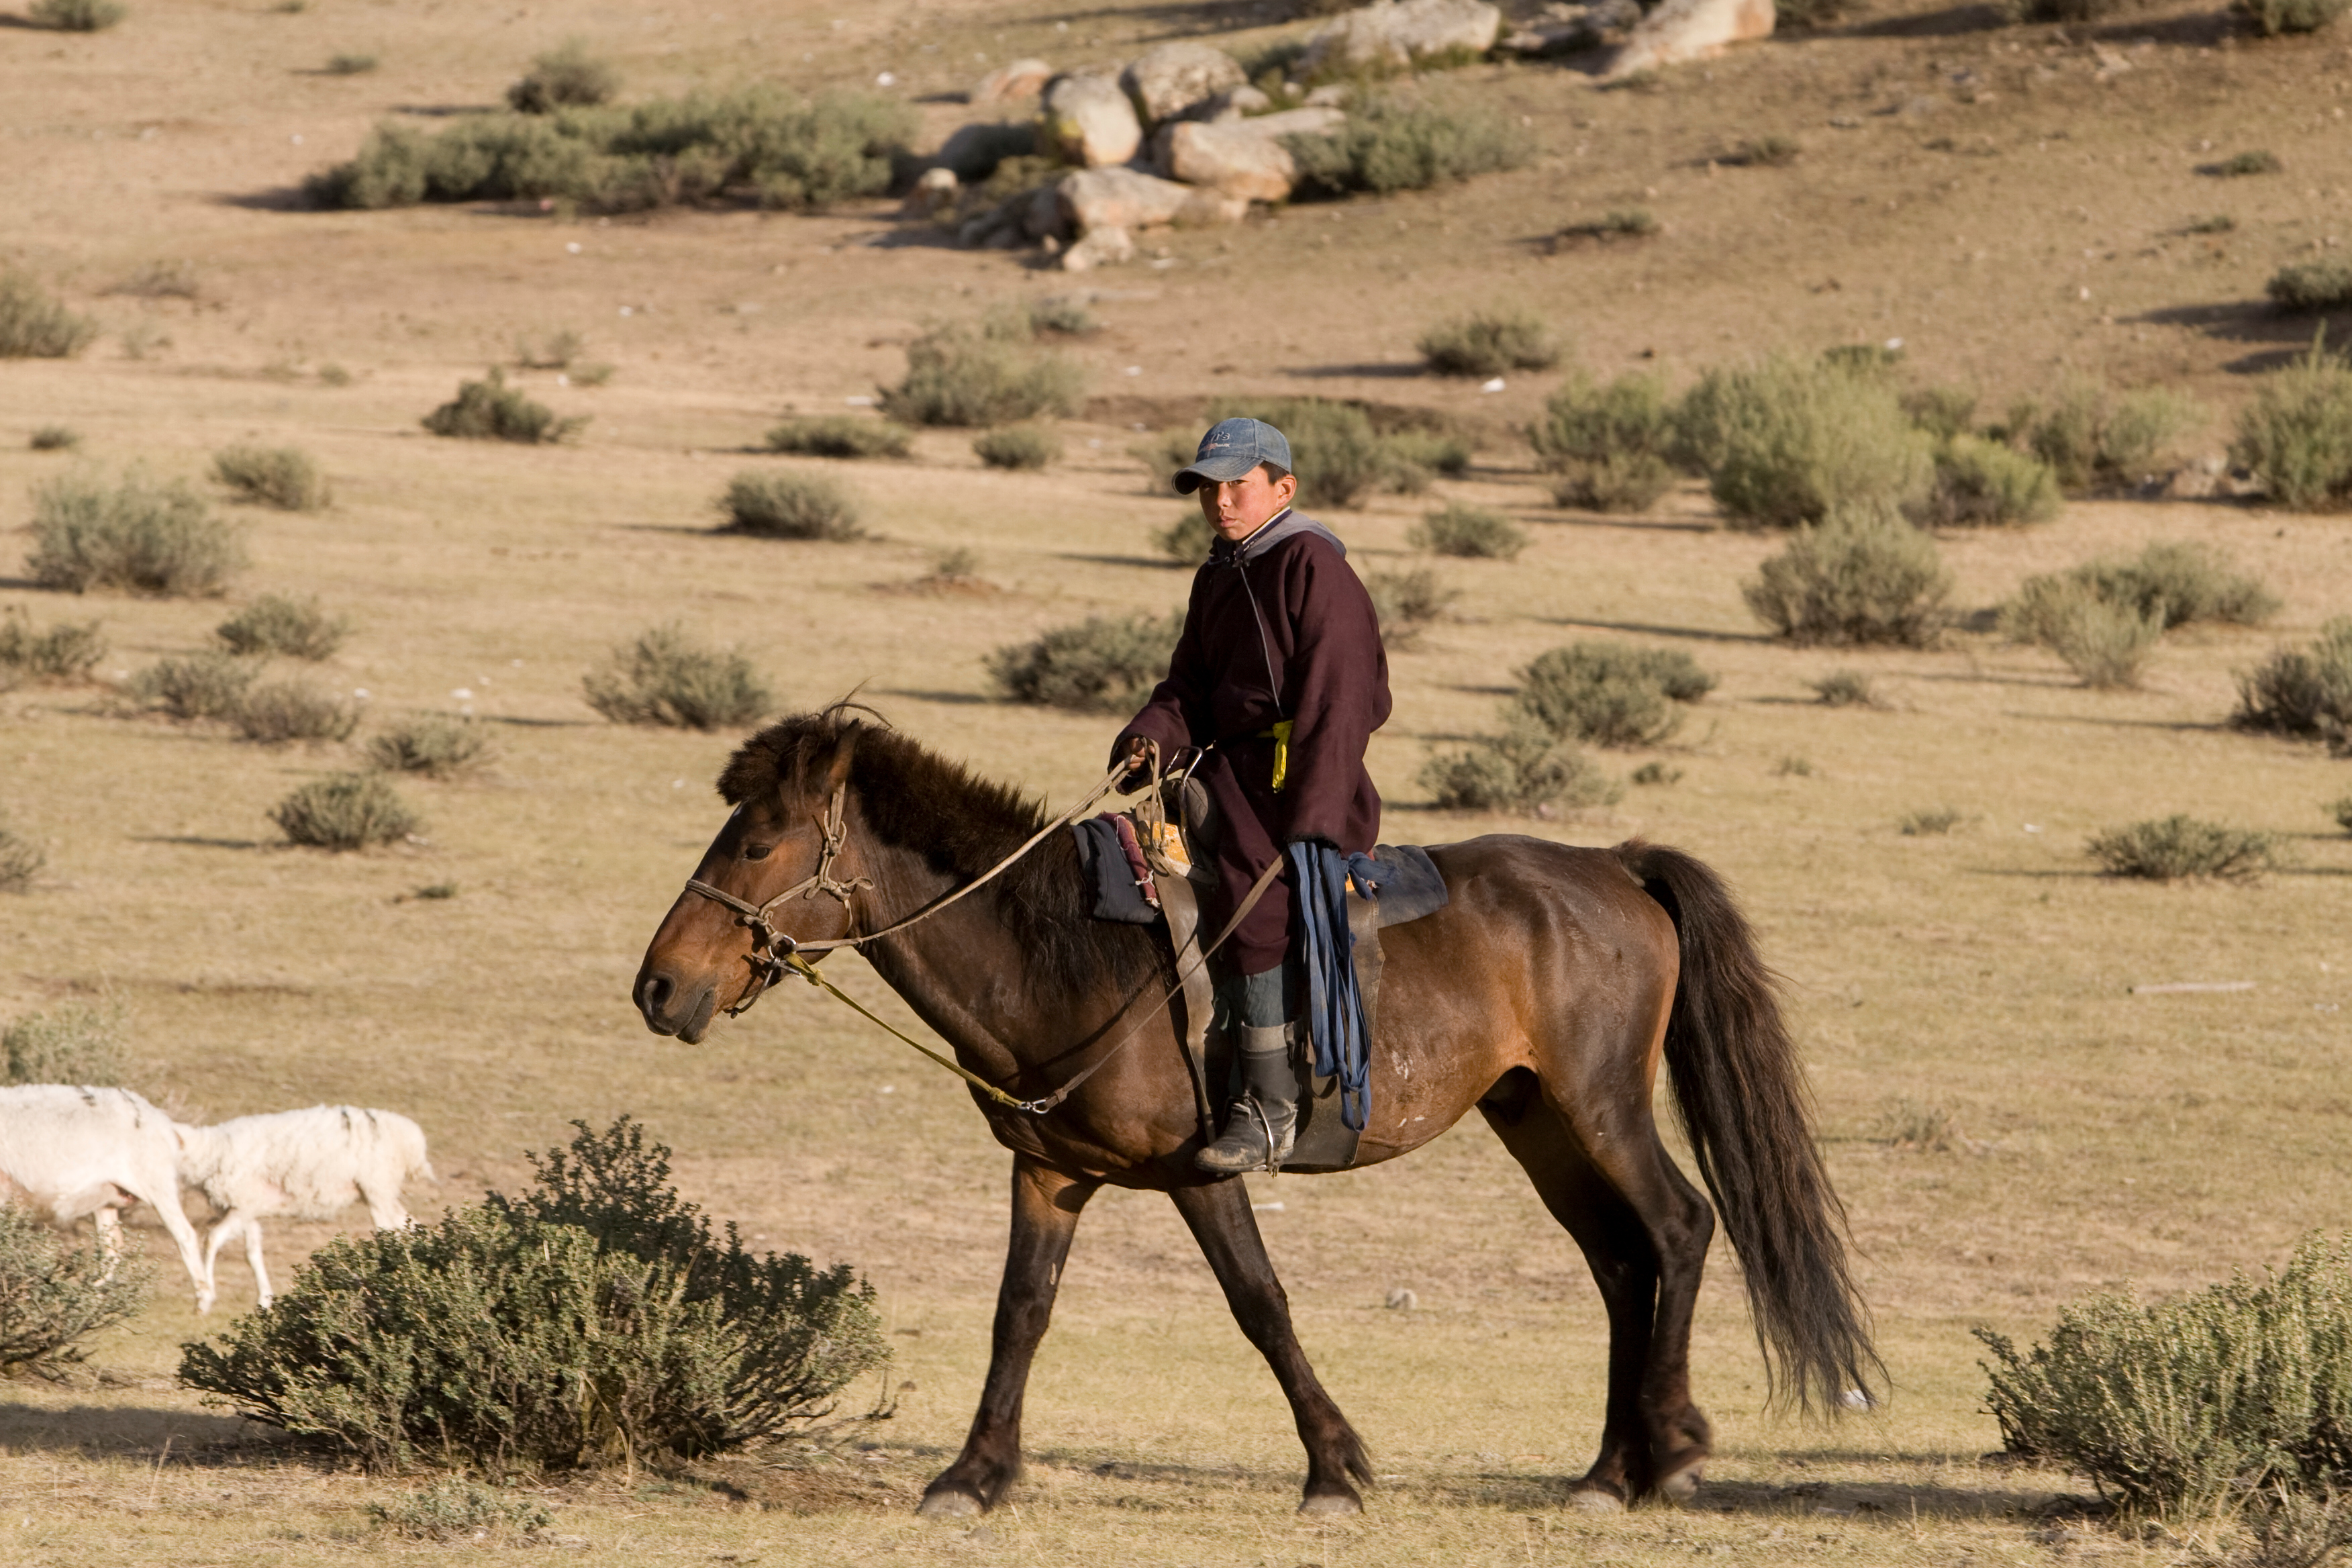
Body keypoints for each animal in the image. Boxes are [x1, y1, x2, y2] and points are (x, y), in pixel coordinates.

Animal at [0, 1084, 215, 1312]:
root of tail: (162, 1121)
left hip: (156, 1183)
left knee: (185, 1234)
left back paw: (203, 1300)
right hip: (108, 1197)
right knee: (112, 1249)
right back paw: (91, 1299)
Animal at [175, 1104, 434, 1308]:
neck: (206, 1150)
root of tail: (411, 1139)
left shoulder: (243, 1206)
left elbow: (212, 1239)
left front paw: (205, 1298)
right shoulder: (246, 1208)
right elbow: (252, 1253)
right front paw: (264, 1299)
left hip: (377, 1188)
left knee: (389, 1233)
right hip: (380, 1192)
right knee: (409, 1226)